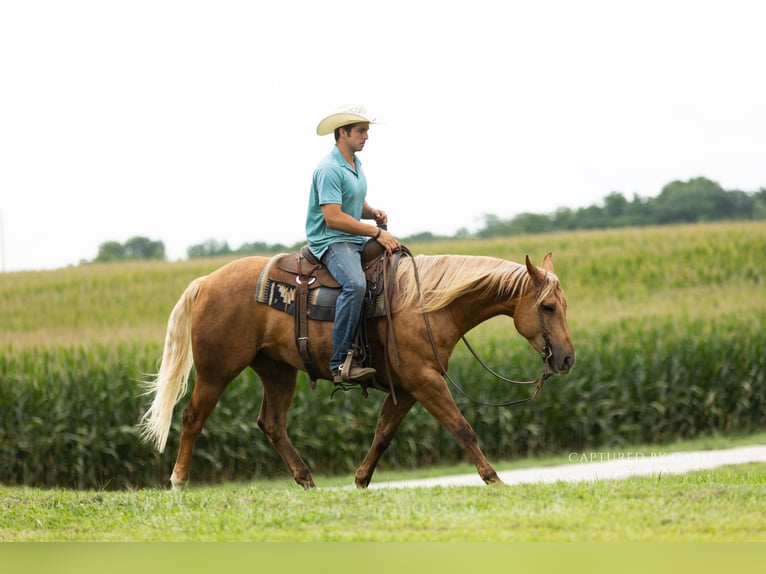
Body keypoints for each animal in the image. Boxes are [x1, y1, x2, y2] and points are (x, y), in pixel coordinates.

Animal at [140, 251, 575, 490]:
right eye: (548, 306)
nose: (567, 359)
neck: (426, 304)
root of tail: (206, 281)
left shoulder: (408, 387)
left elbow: (383, 434)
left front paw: (361, 480)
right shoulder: (425, 380)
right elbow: (462, 427)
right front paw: (493, 478)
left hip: (278, 371)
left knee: (271, 422)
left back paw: (307, 479)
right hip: (217, 371)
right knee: (193, 417)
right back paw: (178, 481)